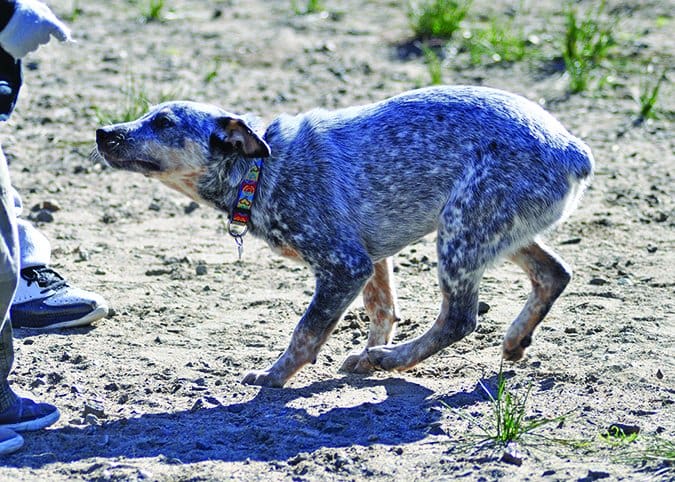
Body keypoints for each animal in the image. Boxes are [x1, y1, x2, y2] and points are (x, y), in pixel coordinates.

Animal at [93, 85, 592, 388]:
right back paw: (513, 341)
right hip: (498, 230)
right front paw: (366, 353)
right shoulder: (370, 258)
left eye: (164, 122)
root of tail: (573, 149)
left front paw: (275, 376)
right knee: (554, 273)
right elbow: (382, 308)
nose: (102, 131)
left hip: (461, 230)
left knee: (459, 318)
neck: (261, 170)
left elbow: (307, 329)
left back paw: (393, 359)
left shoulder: (343, 263)